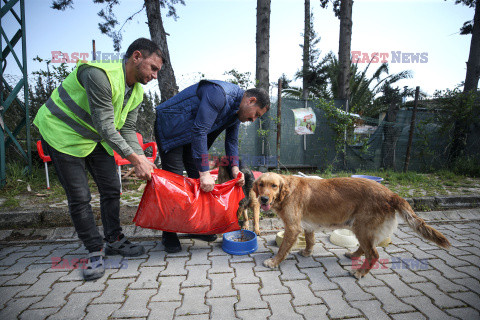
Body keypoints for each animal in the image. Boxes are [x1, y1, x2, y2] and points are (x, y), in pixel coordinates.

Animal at [253, 171, 452, 278]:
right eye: (261, 184)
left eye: (274, 186)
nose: (263, 199)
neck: (287, 192)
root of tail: (391, 194)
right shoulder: (308, 225)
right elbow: (310, 240)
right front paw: (307, 252)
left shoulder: (293, 227)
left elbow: (282, 249)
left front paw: (274, 262)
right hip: (360, 228)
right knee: (365, 249)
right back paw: (353, 255)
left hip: (363, 228)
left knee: (373, 254)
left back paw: (360, 273)